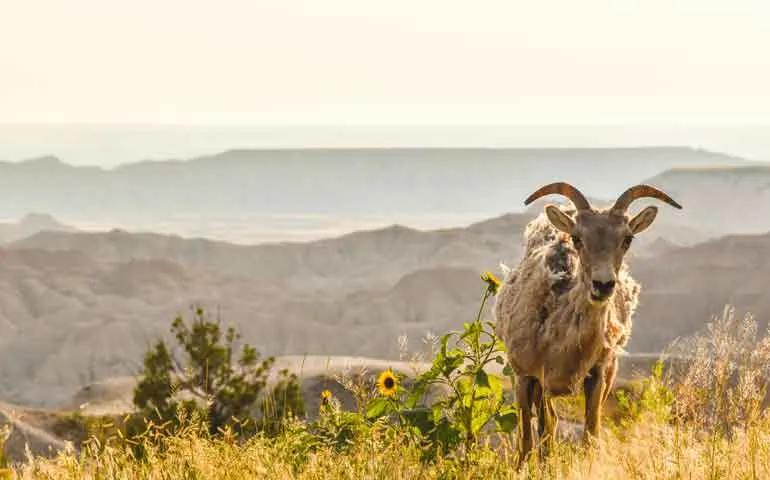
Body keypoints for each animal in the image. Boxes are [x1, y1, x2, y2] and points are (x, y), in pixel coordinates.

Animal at [492, 182, 680, 460]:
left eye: (627, 239)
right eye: (577, 238)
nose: (602, 285)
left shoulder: (596, 377)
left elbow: (590, 439)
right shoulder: (526, 377)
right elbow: (527, 443)